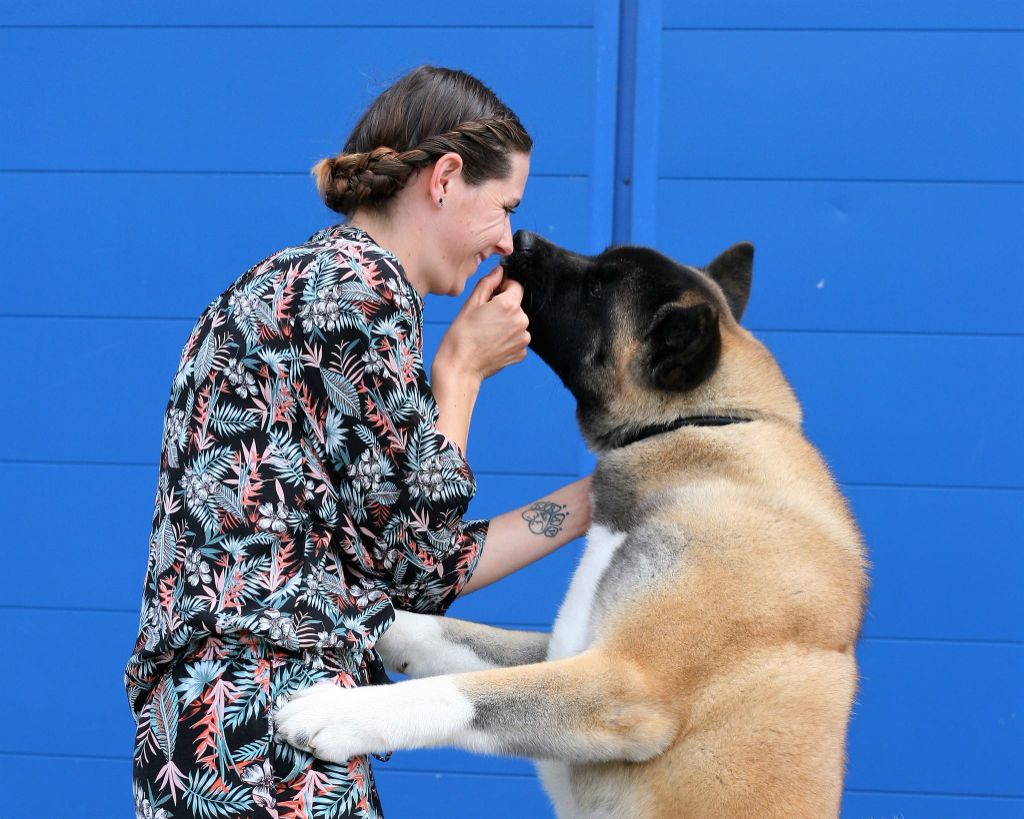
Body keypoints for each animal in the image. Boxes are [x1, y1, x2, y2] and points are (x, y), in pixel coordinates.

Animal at [276, 232, 868, 818]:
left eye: (599, 286)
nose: (521, 238)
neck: (693, 429)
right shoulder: (566, 647)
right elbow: (443, 636)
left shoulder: (621, 682)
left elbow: (463, 693)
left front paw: (339, 713)